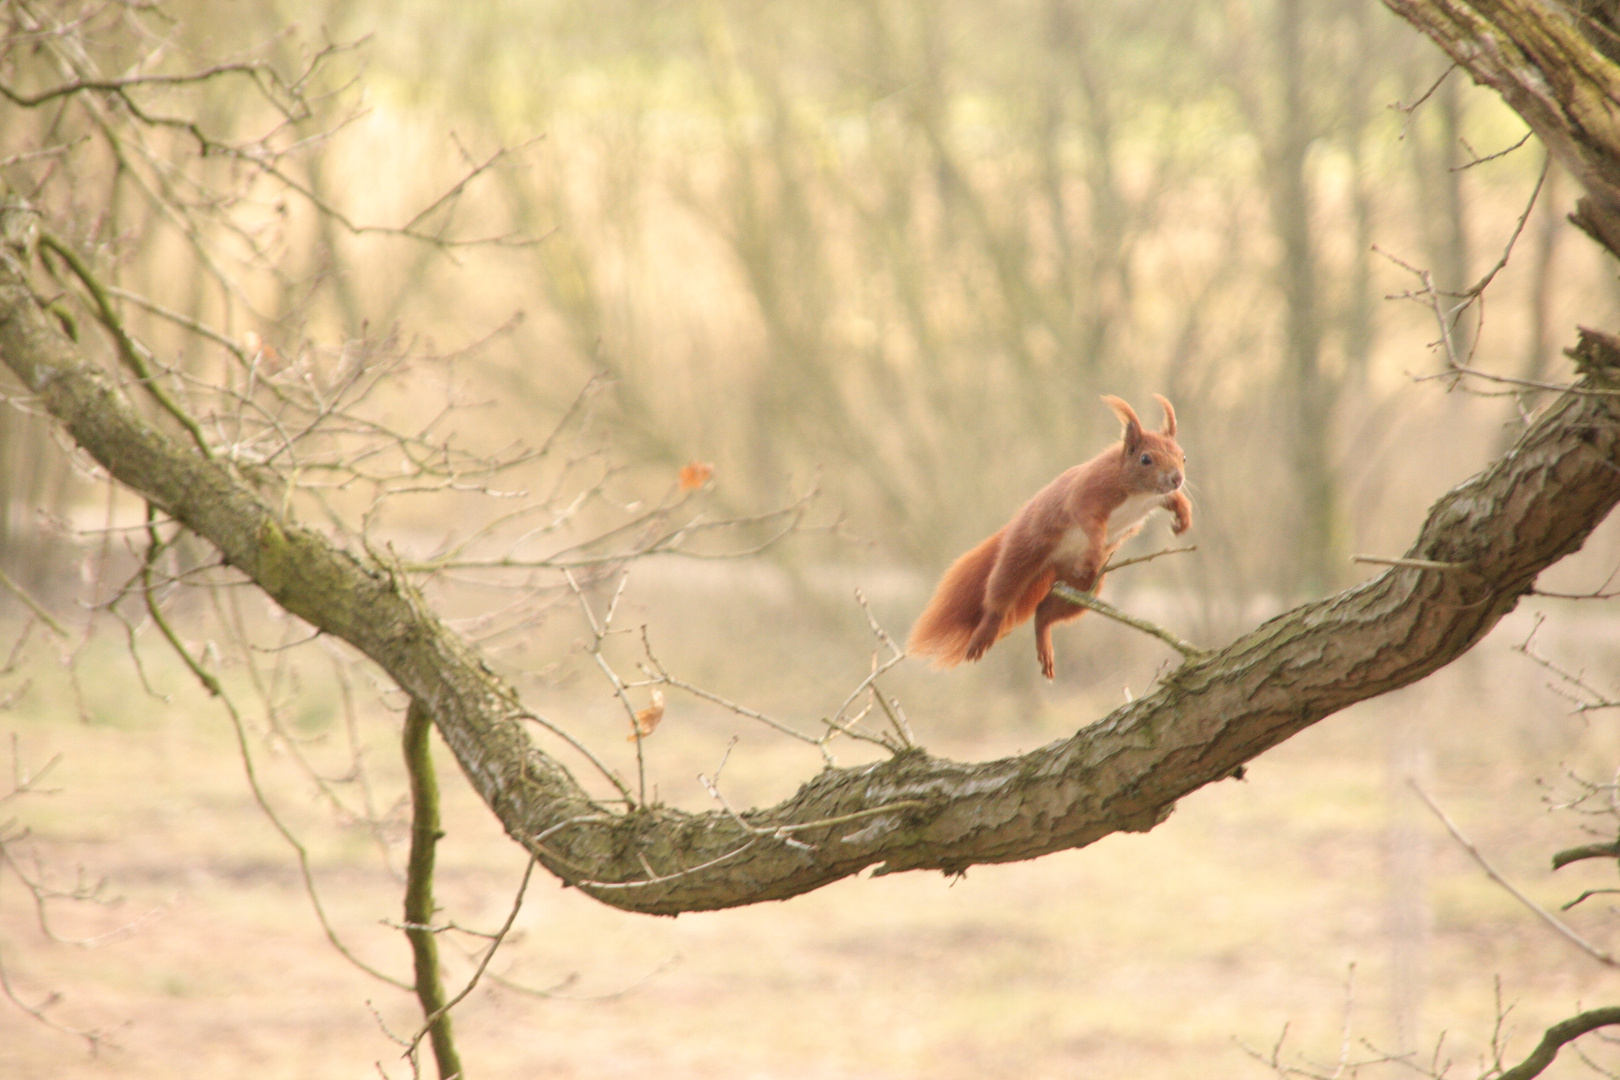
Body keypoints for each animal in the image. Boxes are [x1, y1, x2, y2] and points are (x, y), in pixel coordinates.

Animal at [907, 396, 1198, 680]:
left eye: (1183, 457)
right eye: (1146, 459)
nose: (1176, 478)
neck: (1139, 492)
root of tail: (1052, 565)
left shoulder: (1156, 497)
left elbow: (1173, 500)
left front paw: (1183, 517)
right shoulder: (1089, 491)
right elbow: (1088, 520)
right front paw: (1094, 548)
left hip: (1083, 587)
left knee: (1043, 615)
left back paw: (1045, 640)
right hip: (1022, 553)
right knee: (1000, 595)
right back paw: (986, 631)